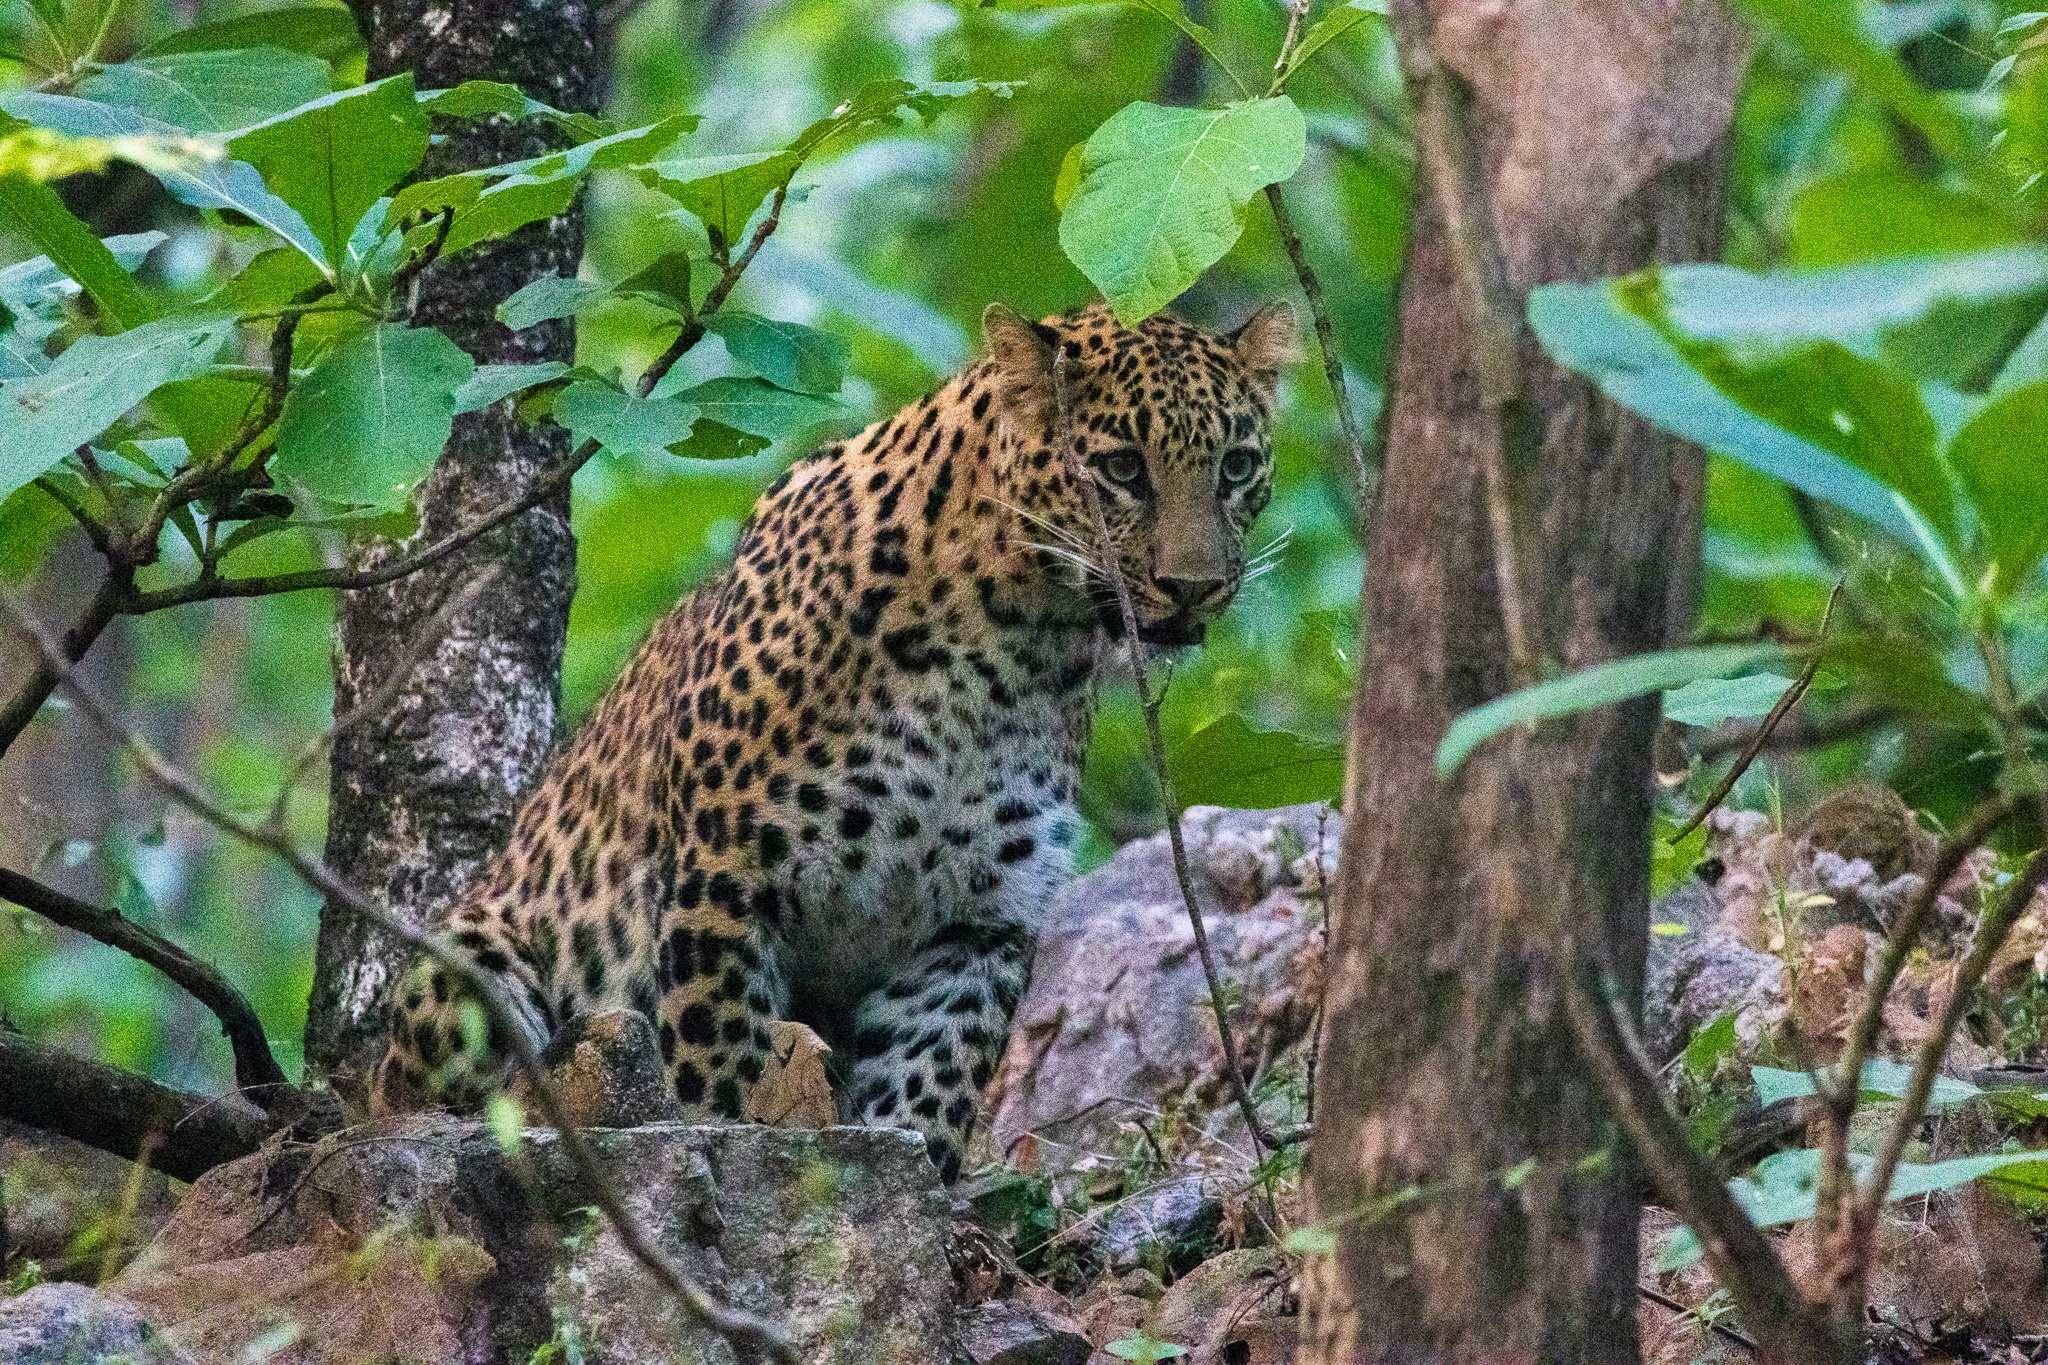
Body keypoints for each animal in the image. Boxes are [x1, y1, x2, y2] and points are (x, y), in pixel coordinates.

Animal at [372, 300, 1294, 1186]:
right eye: (1123, 468)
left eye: (1237, 466)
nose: (1195, 587)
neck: (1014, 646)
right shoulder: (724, 879)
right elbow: (722, 1065)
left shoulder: (976, 925)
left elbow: (927, 1092)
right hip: (467, 965)